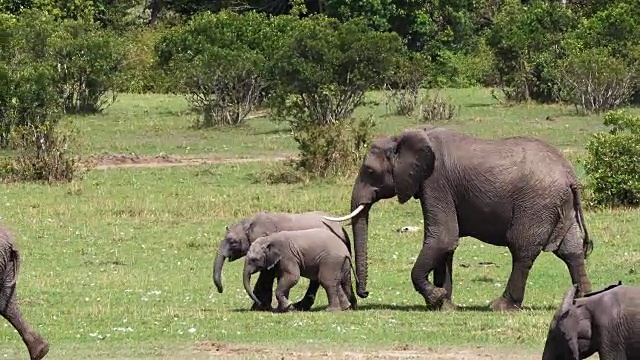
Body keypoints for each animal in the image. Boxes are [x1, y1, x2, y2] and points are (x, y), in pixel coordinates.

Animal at [324, 127, 596, 312]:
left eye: (370, 171)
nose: (364, 293)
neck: (405, 137)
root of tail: (571, 176)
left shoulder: (436, 182)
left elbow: (442, 237)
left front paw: (436, 298)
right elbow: (447, 246)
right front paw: (444, 304)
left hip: (536, 203)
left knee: (522, 249)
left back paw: (501, 306)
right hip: (559, 206)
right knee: (571, 251)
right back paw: (582, 300)